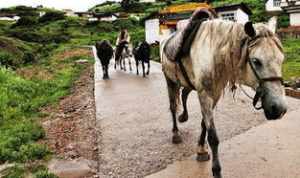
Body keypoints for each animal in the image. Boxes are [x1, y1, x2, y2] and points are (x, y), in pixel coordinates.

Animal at [161, 19, 288, 178]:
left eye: (282, 60)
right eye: (256, 61)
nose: (279, 109)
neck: (213, 54)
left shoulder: (213, 95)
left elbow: (204, 124)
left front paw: (201, 149)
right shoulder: (204, 94)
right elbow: (213, 137)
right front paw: (216, 170)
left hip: (188, 83)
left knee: (184, 94)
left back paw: (183, 116)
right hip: (170, 81)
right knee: (173, 107)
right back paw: (176, 134)